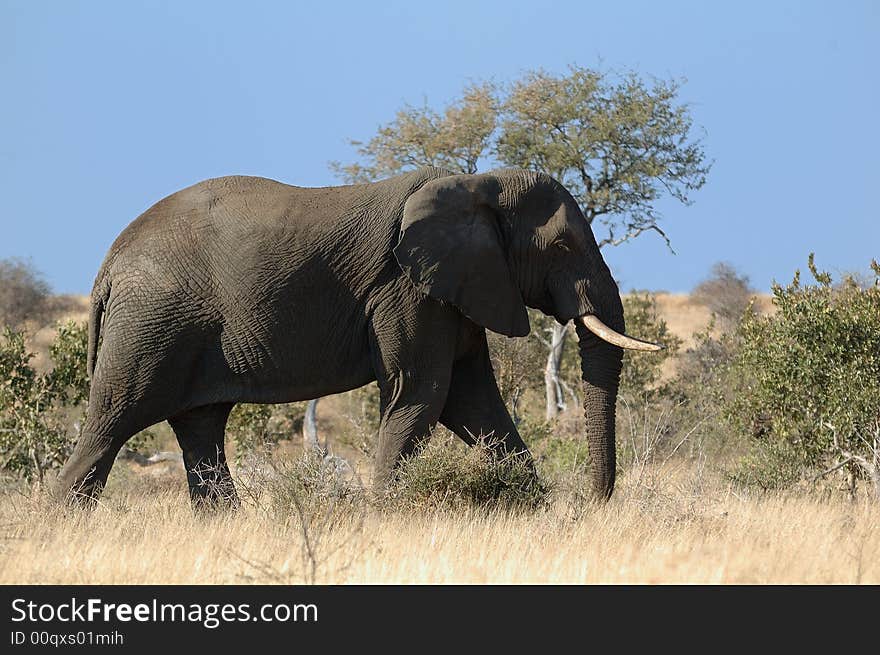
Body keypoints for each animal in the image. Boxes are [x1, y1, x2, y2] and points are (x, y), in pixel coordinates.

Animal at [55, 167, 656, 504]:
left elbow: (473, 402)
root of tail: (108, 266)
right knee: (110, 424)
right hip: (151, 324)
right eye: (561, 247)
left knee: (200, 432)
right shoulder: (406, 289)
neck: (478, 183)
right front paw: (384, 519)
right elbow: (422, 394)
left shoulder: (452, 289)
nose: (593, 505)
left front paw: (535, 514)